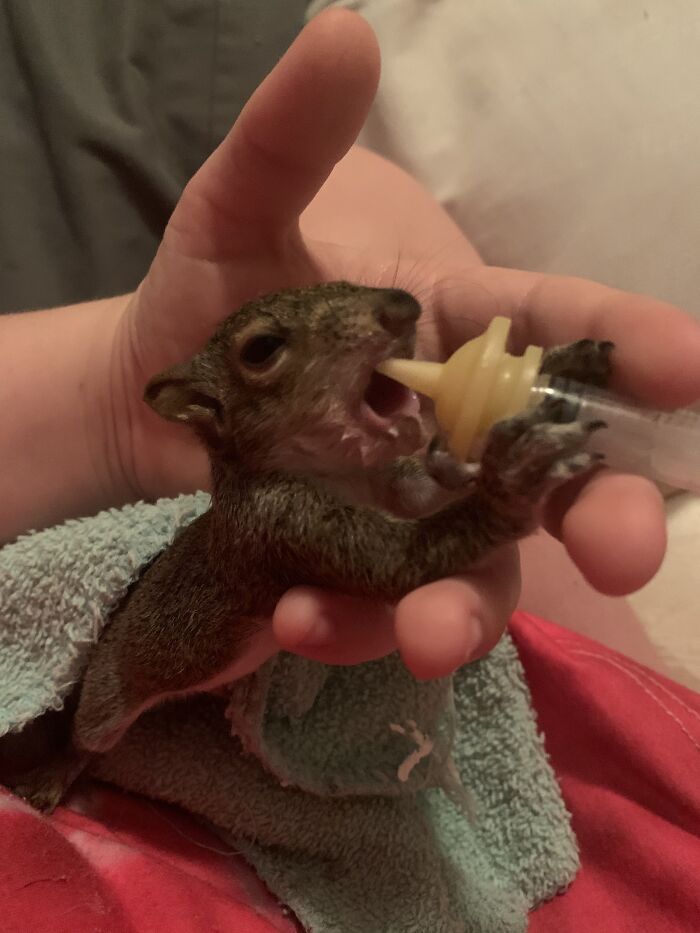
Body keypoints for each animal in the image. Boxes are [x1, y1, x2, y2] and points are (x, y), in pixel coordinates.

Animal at [7, 281, 613, 812]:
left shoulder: (391, 485)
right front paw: (514, 479)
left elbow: (424, 492)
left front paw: (558, 368)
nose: (402, 307)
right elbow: (398, 563)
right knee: (87, 737)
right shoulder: (279, 525)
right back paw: (52, 776)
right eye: (261, 349)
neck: (342, 472)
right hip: (109, 694)